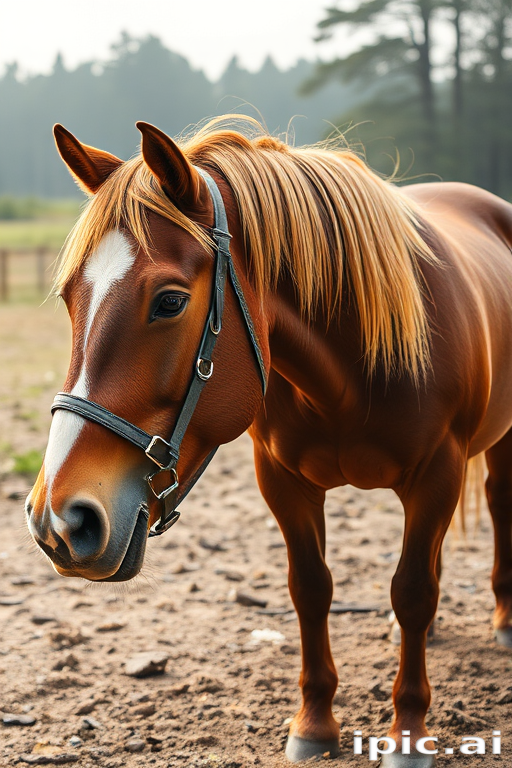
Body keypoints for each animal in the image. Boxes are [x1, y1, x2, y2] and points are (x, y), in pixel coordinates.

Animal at [26, 115, 512, 766]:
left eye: (170, 302)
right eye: (69, 298)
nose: (60, 519)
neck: (351, 372)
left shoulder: (436, 475)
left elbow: (412, 591)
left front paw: (407, 731)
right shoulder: (284, 482)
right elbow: (310, 589)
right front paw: (314, 723)